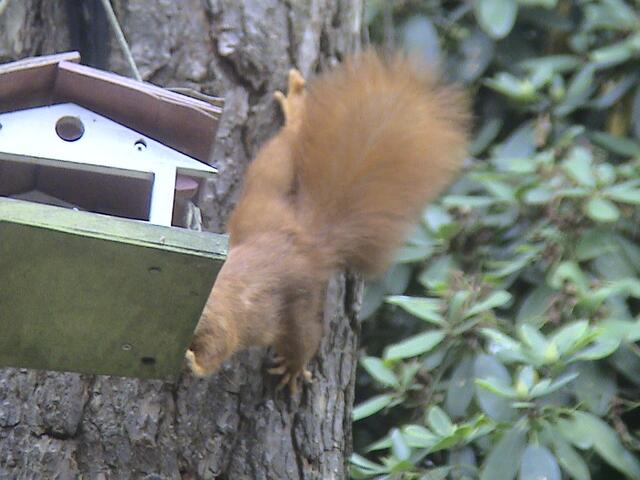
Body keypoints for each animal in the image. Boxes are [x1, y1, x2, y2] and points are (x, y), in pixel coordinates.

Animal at [185, 51, 469, 392]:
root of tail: (306, 240)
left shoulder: (220, 319)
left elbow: (219, 347)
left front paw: (193, 362)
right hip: (261, 206)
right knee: (279, 157)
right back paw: (296, 110)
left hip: (298, 303)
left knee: (305, 339)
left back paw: (292, 369)